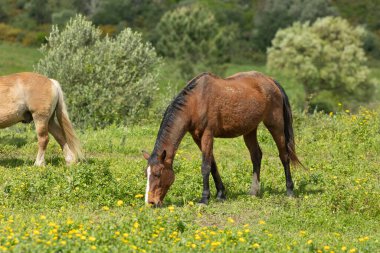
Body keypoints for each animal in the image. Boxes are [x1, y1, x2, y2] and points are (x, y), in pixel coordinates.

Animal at [142, 70, 302, 206]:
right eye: (146, 174)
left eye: (157, 174)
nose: (150, 202)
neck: (196, 101)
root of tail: (270, 80)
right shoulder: (197, 137)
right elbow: (213, 164)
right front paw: (220, 194)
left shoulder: (207, 134)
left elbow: (205, 166)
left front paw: (204, 198)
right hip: (250, 130)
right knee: (256, 156)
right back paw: (254, 191)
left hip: (275, 125)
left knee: (284, 155)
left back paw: (289, 190)